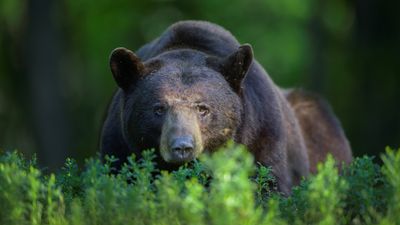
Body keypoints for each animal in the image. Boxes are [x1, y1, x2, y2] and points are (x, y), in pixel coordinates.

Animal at [100, 20, 350, 194]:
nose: (182, 147)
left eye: (203, 108)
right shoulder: (119, 144)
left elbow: (269, 185)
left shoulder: (263, 134)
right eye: (159, 108)